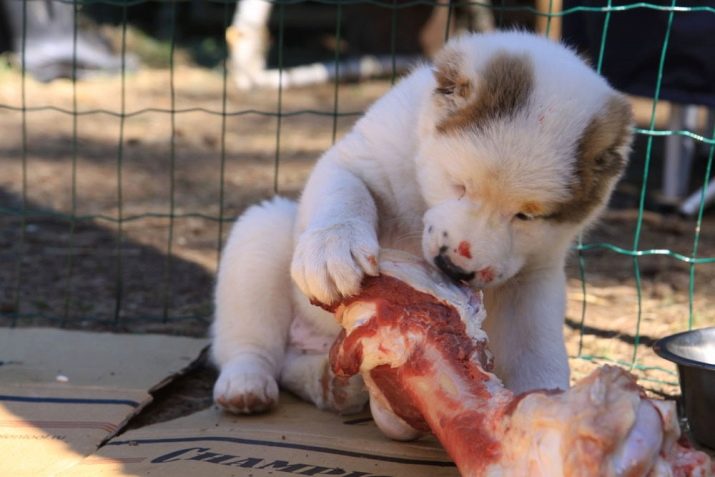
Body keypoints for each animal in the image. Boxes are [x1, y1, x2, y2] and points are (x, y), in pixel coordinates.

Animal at [211, 31, 632, 414]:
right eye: (459, 185)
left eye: (526, 216)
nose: (455, 267)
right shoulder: (359, 159)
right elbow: (346, 194)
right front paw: (333, 250)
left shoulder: (533, 276)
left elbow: (535, 344)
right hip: (262, 232)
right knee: (251, 343)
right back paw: (246, 383)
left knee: (289, 364)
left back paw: (331, 387)